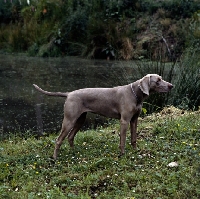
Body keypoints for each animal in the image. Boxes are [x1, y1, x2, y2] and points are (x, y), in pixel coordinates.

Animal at [33, 74, 173, 159]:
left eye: (161, 78)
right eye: (158, 80)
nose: (171, 86)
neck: (136, 94)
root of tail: (69, 94)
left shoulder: (134, 120)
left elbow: (133, 138)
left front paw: (135, 151)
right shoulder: (124, 120)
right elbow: (123, 140)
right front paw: (122, 154)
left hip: (80, 119)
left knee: (70, 137)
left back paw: (74, 152)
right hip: (69, 120)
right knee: (58, 139)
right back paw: (55, 157)